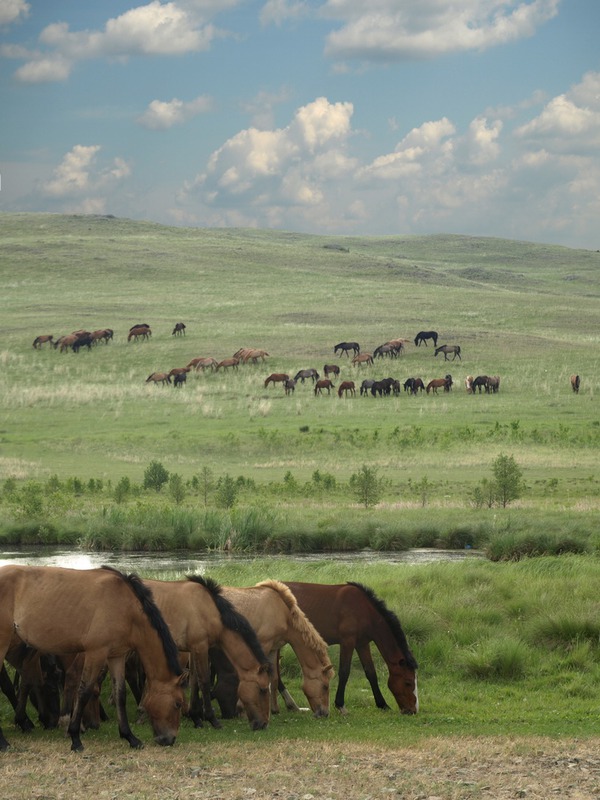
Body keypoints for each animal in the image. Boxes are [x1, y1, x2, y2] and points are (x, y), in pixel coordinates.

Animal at [0, 564, 186, 752]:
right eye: (178, 703)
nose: (170, 739)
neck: (126, 607)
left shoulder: (116, 656)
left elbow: (120, 695)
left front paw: (130, 737)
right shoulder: (96, 653)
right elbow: (84, 691)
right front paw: (75, 738)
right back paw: (4, 742)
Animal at [144, 576, 270, 732]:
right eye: (262, 690)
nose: (264, 723)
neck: (207, 610)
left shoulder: (193, 650)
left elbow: (194, 681)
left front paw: (196, 718)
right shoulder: (201, 647)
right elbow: (204, 682)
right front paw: (212, 719)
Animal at [220, 580, 332, 720]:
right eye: (325, 686)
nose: (325, 713)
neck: (282, 612)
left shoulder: (273, 649)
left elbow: (273, 679)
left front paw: (274, 709)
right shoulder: (263, 646)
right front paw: (242, 710)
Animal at [282, 580, 418, 716]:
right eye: (408, 682)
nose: (412, 710)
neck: (364, 610)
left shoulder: (362, 644)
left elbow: (371, 673)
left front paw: (382, 704)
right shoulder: (347, 642)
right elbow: (344, 672)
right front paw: (340, 705)